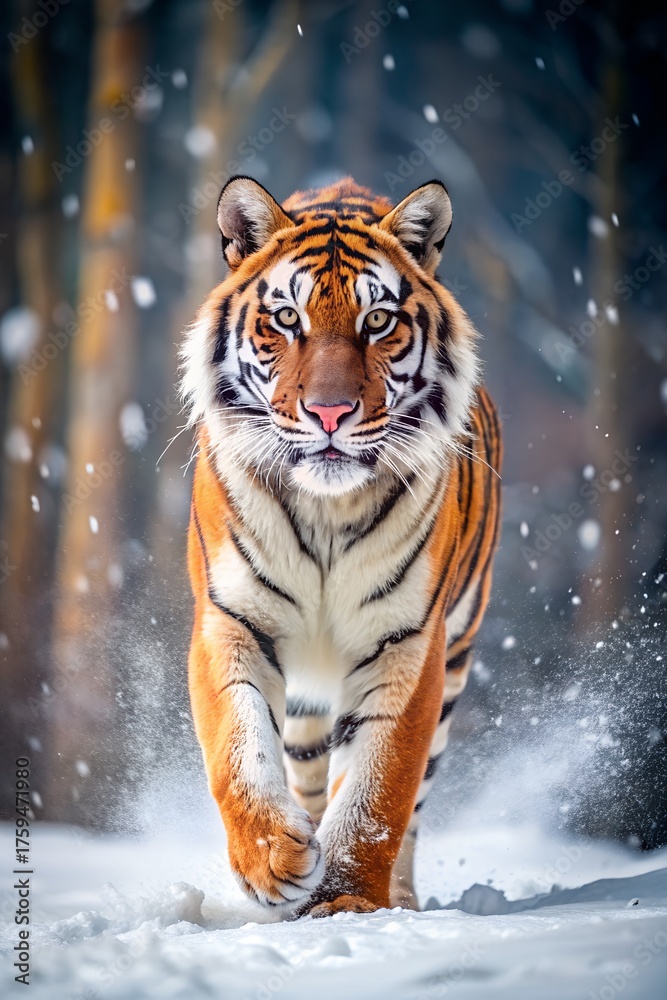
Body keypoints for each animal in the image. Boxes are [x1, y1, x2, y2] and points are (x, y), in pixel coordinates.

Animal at [181, 175, 502, 918]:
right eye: (286, 319)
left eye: (377, 322)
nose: (330, 413)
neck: (327, 511)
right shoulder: (229, 620)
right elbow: (237, 749)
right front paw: (274, 861)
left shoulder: (408, 645)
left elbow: (378, 789)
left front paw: (350, 897)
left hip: (456, 659)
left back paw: (398, 898)